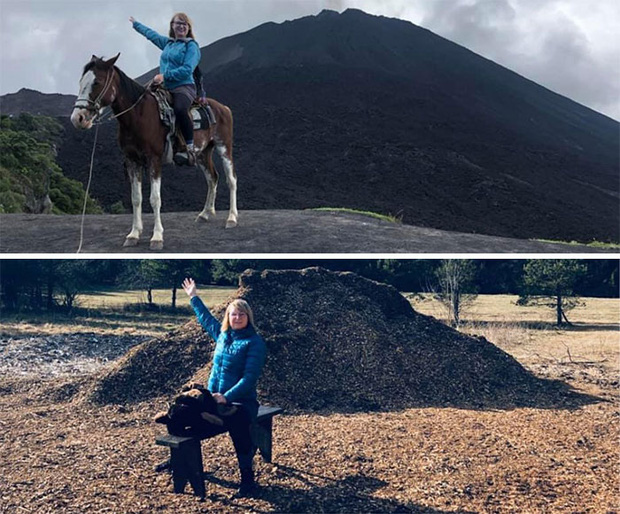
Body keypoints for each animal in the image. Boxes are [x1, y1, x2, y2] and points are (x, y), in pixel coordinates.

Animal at [71, 53, 237, 250]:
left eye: (97, 82)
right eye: (81, 81)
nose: (78, 118)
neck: (139, 116)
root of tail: (223, 108)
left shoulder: (154, 160)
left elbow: (155, 198)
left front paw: (157, 237)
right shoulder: (132, 161)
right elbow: (136, 198)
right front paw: (134, 234)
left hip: (224, 147)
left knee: (231, 179)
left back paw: (232, 218)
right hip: (203, 154)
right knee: (212, 178)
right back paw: (204, 214)